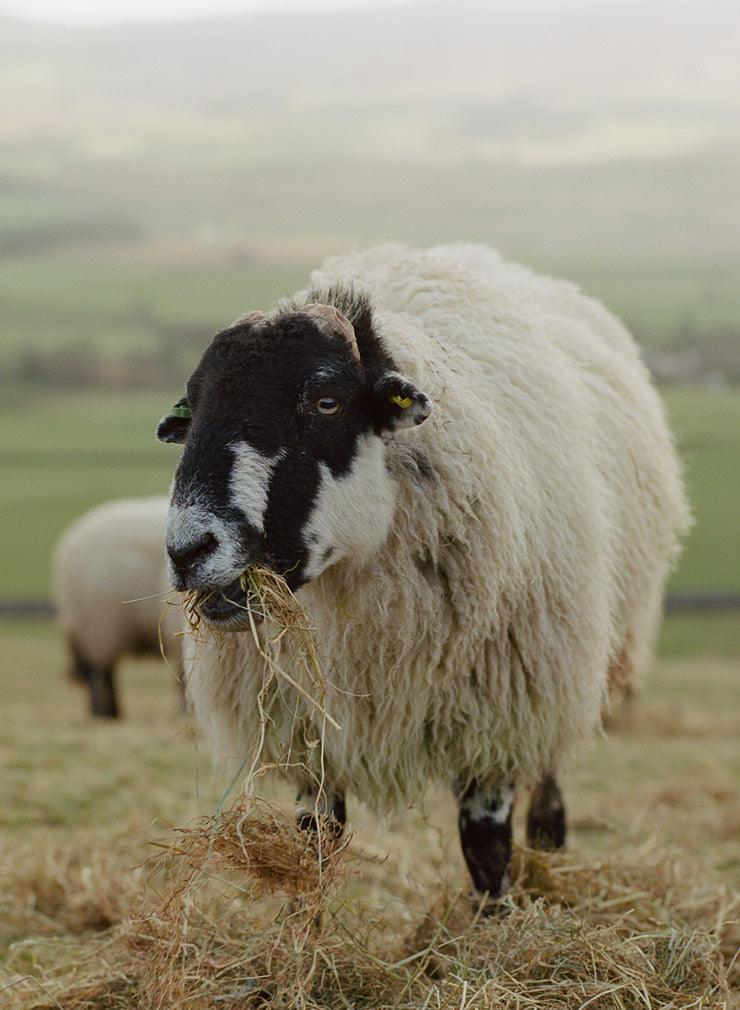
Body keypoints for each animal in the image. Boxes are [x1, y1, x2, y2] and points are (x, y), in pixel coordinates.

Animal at [156, 242, 689, 905]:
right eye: (194, 409)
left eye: (326, 401)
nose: (186, 550)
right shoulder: (309, 734)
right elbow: (316, 845)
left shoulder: (500, 719)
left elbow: (485, 847)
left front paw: (493, 923)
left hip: (564, 666)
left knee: (547, 787)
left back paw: (548, 853)